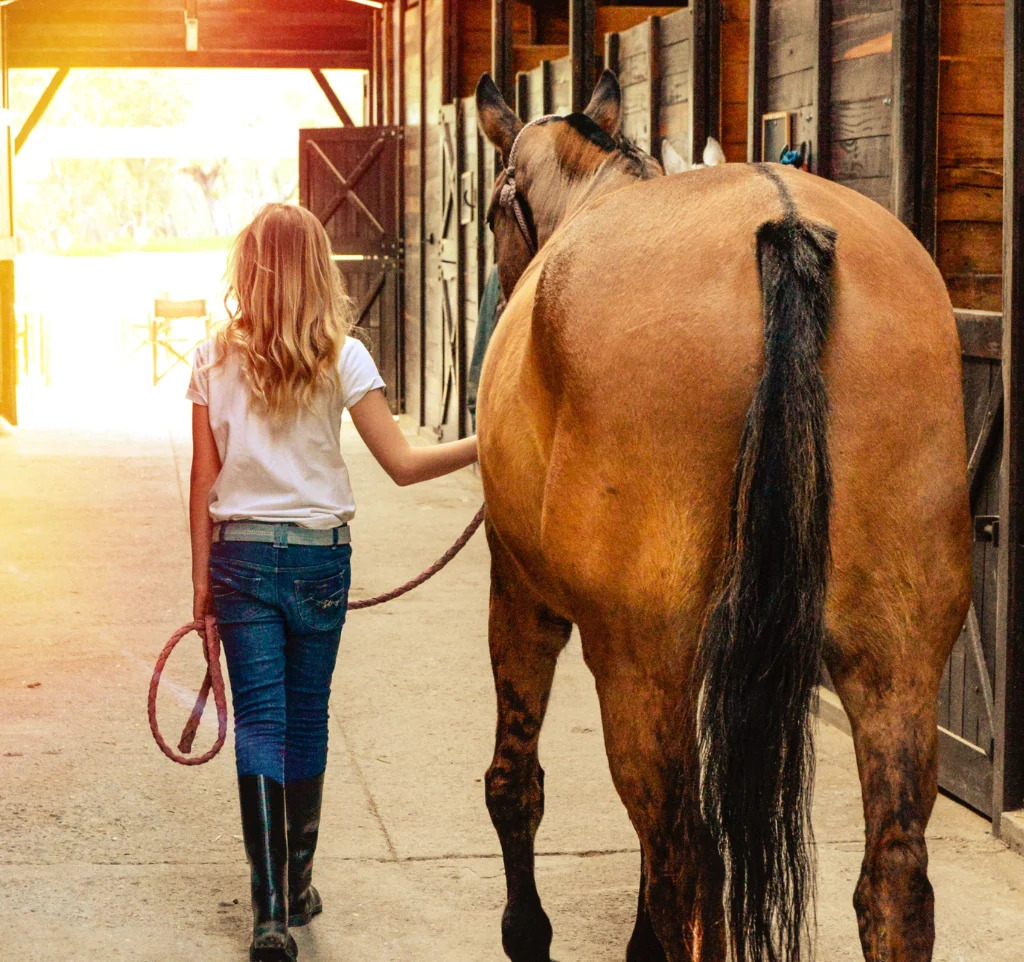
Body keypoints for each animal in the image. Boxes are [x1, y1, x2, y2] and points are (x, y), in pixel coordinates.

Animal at [471, 69, 972, 962]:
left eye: (496, 208)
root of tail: (784, 226)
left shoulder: (521, 594)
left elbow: (515, 783)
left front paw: (526, 932)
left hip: (639, 663)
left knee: (686, 860)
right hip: (897, 659)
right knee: (892, 878)